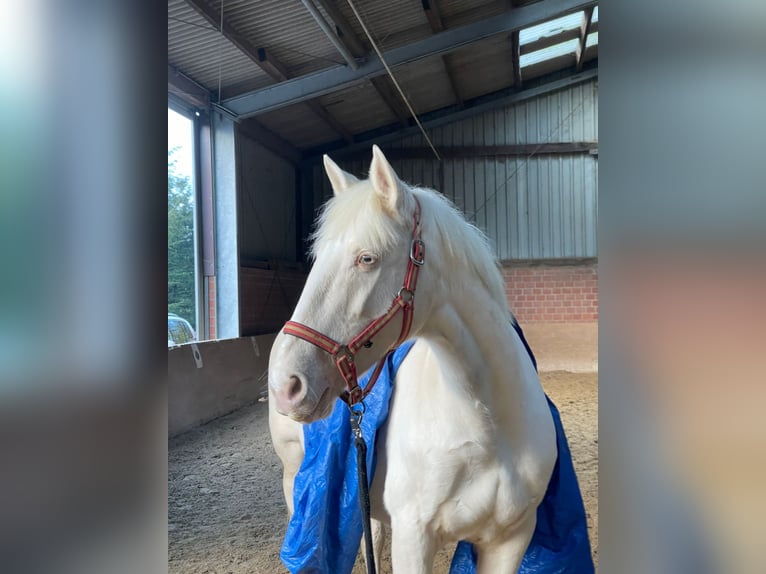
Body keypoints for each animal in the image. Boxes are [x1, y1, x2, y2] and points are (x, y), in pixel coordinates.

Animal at [270, 146, 560, 572]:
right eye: (318, 258)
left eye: (367, 259)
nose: (286, 384)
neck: (489, 423)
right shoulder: (414, 538)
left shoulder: (511, 539)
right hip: (295, 480)